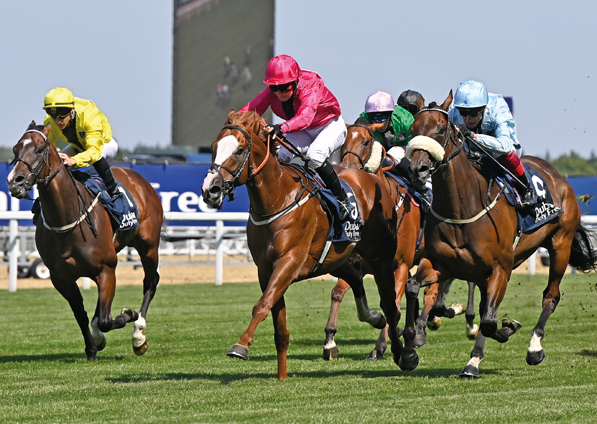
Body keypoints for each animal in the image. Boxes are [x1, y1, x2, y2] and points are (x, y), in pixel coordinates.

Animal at [5, 122, 163, 362]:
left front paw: (128, 314)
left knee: (151, 281)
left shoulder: (106, 268)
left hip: (149, 246)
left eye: (39, 150)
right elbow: (82, 314)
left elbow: (107, 320)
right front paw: (92, 347)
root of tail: (140, 179)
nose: (15, 181)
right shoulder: (61, 277)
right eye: (15, 149)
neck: (67, 219)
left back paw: (139, 336)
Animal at [200, 110, 400, 380]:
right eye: (214, 147)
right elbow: (278, 323)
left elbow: (262, 305)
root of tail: (370, 177)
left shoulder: (289, 262)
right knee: (355, 278)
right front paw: (282, 375)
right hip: (336, 259)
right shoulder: (266, 269)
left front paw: (241, 345)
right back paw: (374, 318)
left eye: (239, 150)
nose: (209, 190)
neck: (277, 199)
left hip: (377, 254)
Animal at [400, 93, 596, 378]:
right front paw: (409, 351)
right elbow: (413, 287)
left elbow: (490, 322)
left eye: (440, 129)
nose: (418, 169)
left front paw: (504, 332)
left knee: (551, 296)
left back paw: (534, 347)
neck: (463, 207)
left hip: (561, 245)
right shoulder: (441, 263)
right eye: (413, 130)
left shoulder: (500, 267)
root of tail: (558, 176)